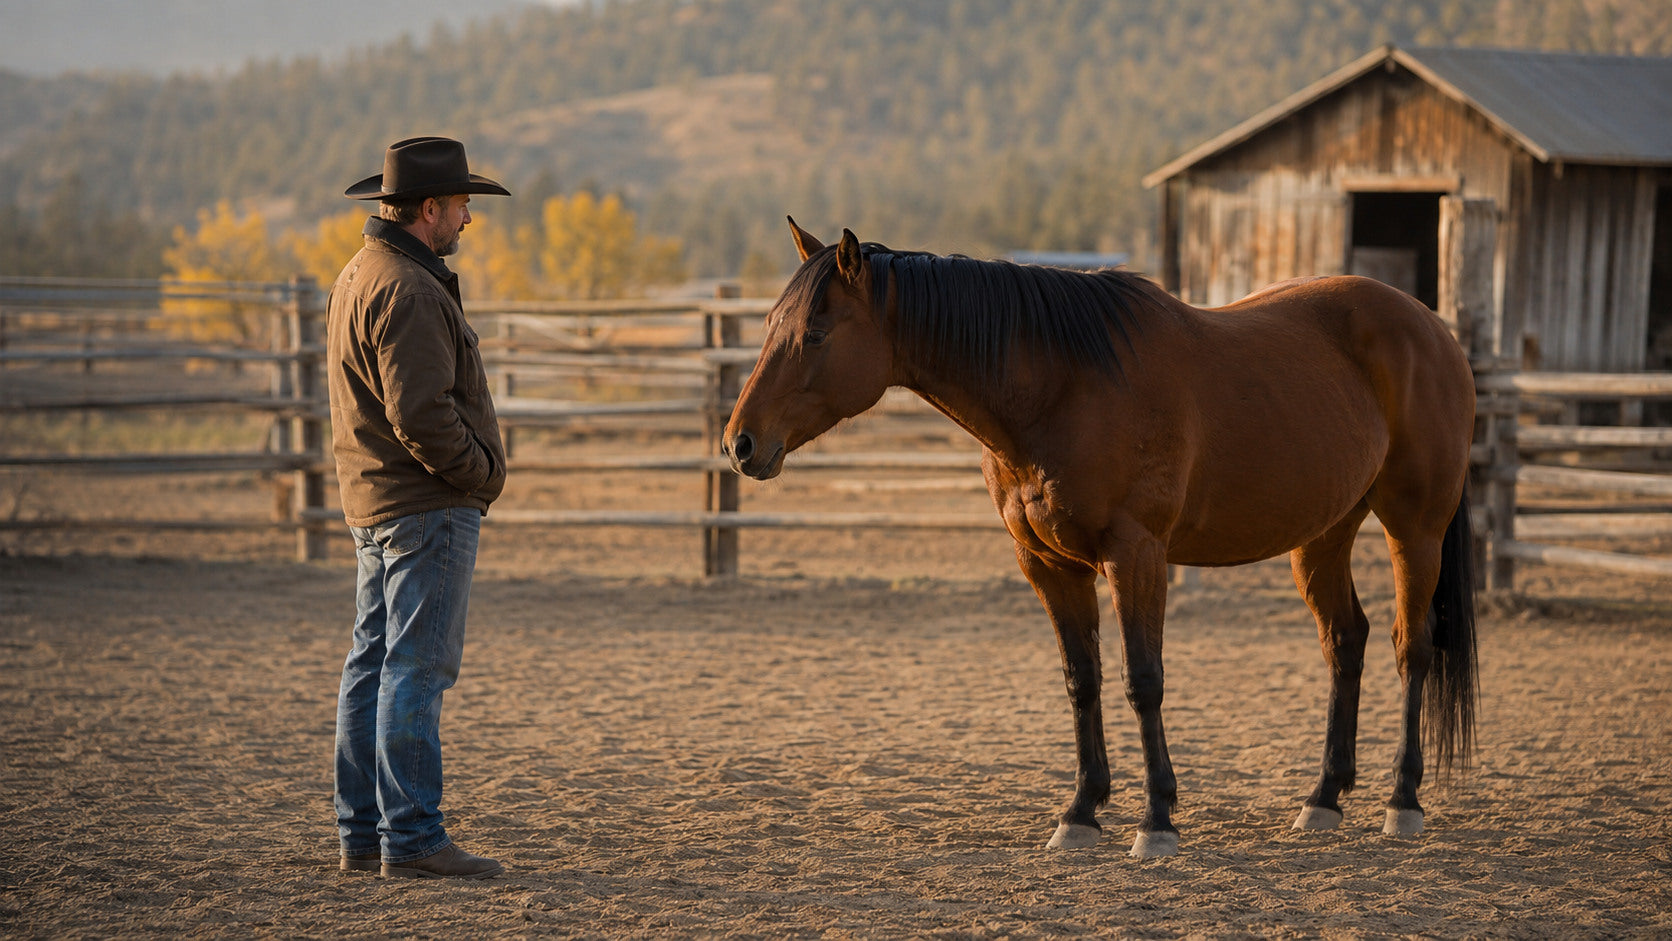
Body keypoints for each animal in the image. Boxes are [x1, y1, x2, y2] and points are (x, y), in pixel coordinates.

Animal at [723, 219, 1478, 858]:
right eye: (770, 326)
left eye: (816, 333)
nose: (740, 443)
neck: (1062, 386)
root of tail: (1432, 329)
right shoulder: (1050, 565)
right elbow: (1081, 680)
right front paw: (1081, 812)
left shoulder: (1135, 554)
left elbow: (1144, 679)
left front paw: (1157, 819)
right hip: (1322, 534)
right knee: (1345, 641)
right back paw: (1324, 797)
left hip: (1415, 527)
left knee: (1413, 647)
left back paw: (1402, 799)